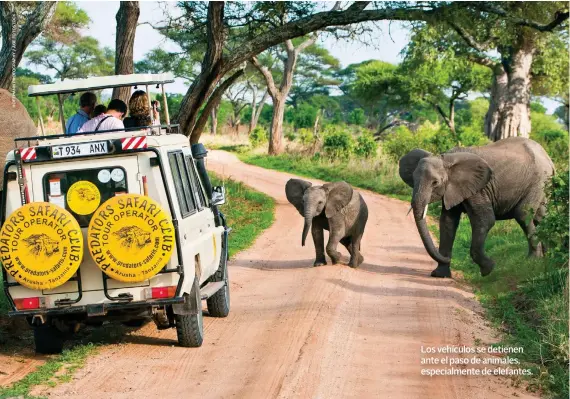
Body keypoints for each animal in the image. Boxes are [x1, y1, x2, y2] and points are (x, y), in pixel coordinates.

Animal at [398, 138, 552, 278]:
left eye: (435, 183)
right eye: (413, 179)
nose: (449, 258)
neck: (446, 159)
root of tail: (548, 158)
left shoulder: (479, 189)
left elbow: (485, 220)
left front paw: (489, 269)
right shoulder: (453, 188)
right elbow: (448, 222)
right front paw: (439, 275)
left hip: (539, 181)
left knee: (523, 214)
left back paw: (532, 261)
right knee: (540, 217)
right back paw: (547, 257)